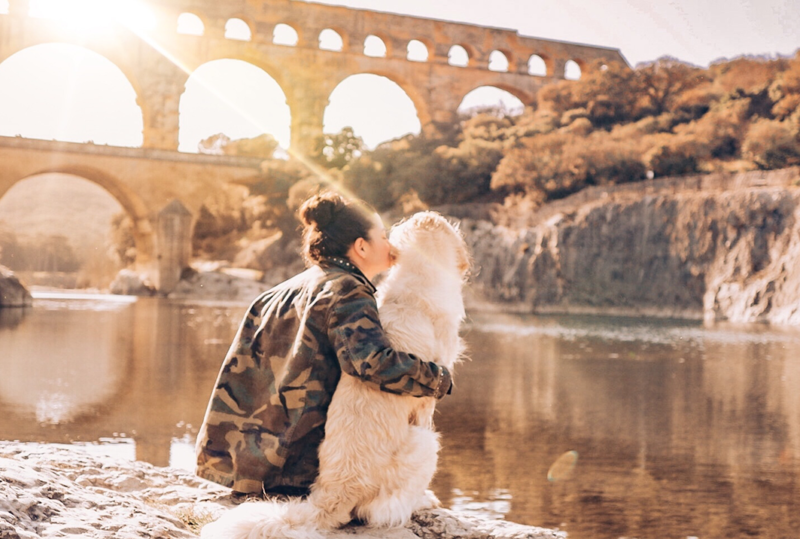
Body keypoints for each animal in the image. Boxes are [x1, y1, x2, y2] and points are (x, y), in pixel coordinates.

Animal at [200, 212, 472, 539]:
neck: (420, 276)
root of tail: (335, 493)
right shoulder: (428, 400)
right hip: (427, 444)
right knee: (382, 512)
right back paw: (422, 501)